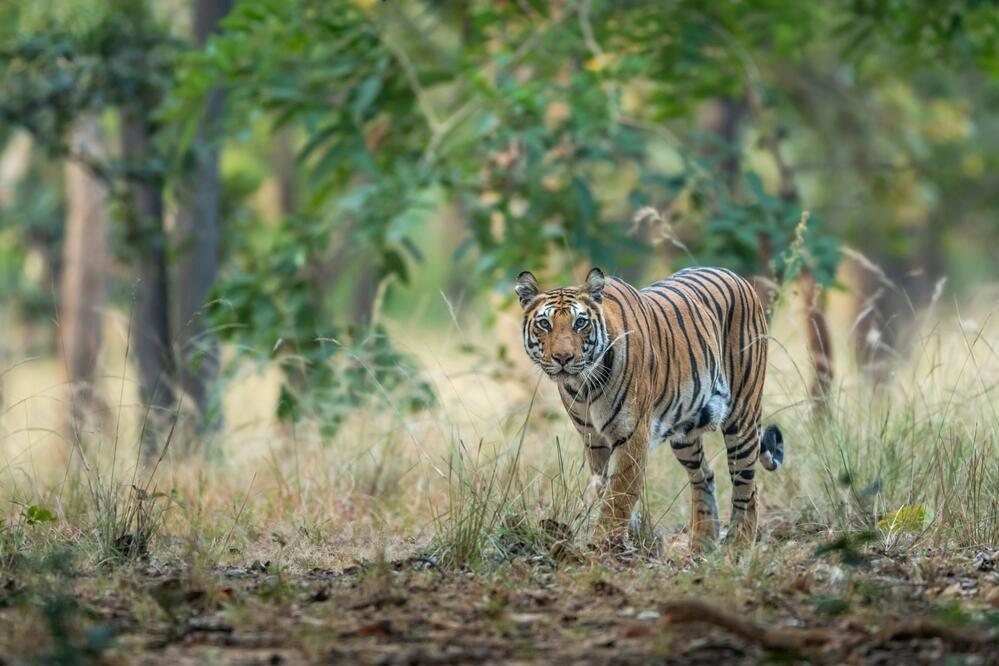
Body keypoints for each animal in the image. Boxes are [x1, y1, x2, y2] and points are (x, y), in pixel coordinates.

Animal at [515, 263, 784, 552]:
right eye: (544, 324)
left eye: (580, 323)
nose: (563, 358)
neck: (584, 385)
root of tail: (735, 275)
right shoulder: (594, 440)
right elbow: (606, 489)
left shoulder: (631, 434)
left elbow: (619, 494)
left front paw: (602, 544)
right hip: (686, 430)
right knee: (704, 476)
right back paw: (701, 544)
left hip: (742, 416)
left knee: (746, 484)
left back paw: (739, 545)